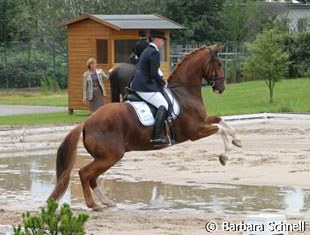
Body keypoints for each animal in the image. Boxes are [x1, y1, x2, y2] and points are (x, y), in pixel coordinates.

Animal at [48, 45, 242, 210]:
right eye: (219, 63)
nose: (221, 88)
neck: (184, 93)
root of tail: (86, 123)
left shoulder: (202, 122)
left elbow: (222, 121)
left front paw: (238, 141)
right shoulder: (195, 131)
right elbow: (220, 128)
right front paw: (224, 157)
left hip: (105, 157)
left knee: (92, 177)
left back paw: (107, 202)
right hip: (111, 156)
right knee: (85, 173)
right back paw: (93, 204)